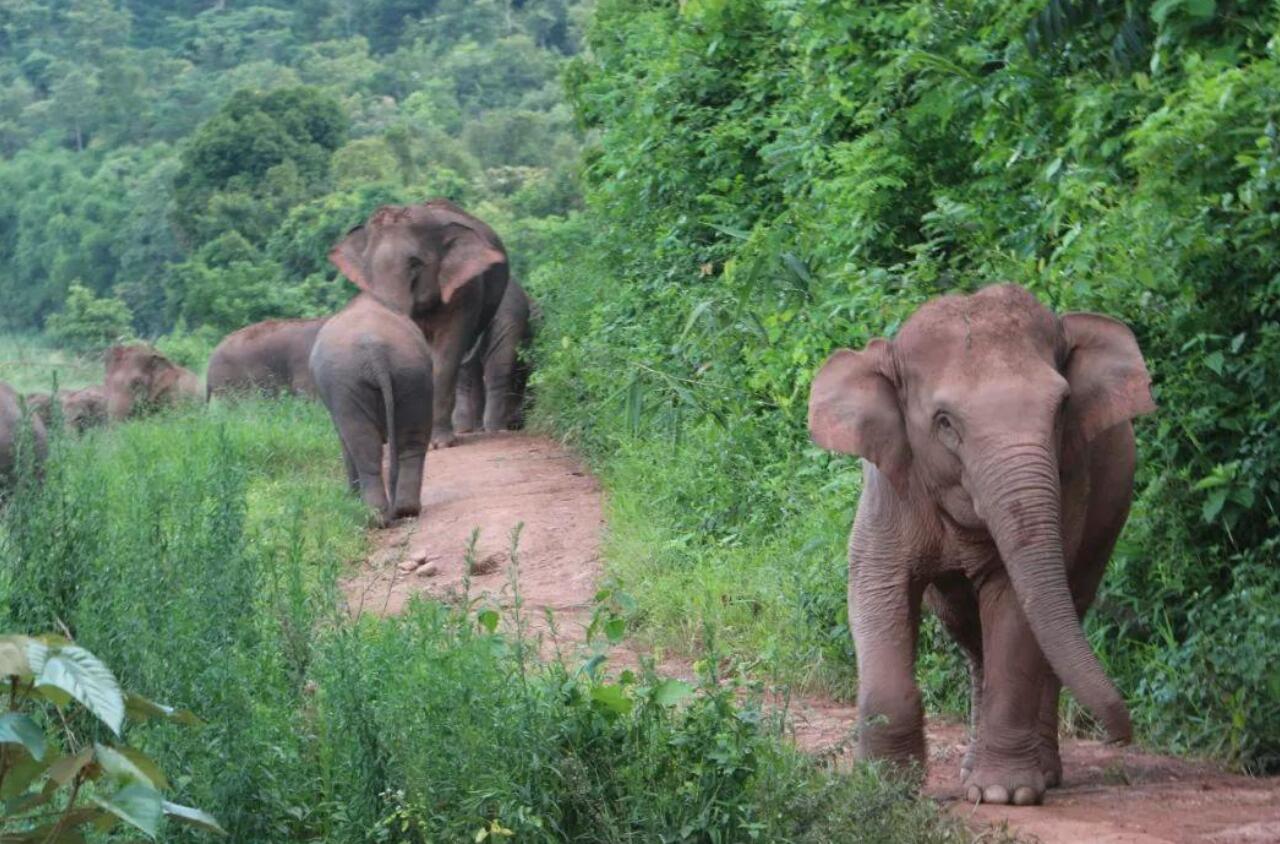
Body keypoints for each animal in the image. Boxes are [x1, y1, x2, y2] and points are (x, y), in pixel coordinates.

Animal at [808, 281, 1162, 804]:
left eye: (1061, 408)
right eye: (944, 422)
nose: (1118, 736)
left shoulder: (1069, 483)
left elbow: (1016, 606)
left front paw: (1004, 795)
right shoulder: (889, 487)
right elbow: (876, 588)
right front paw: (884, 787)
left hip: (1111, 507)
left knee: (1062, 614)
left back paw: (1038, 772)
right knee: (967, 630)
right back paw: (970, 768)